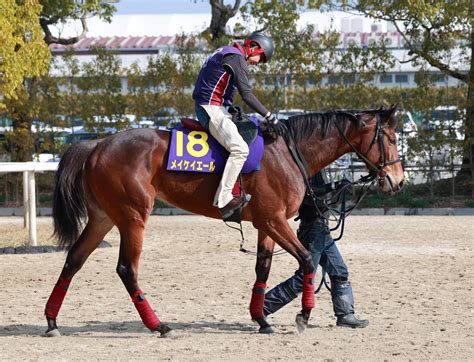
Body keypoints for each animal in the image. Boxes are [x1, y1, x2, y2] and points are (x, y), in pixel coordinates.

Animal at [44, 106, 404, 338]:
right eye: (391, 139)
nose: (398, 181)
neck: (288, 151)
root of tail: (97, 145)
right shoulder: (275, 220)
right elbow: (305, 260)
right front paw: (302, 314)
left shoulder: (265, 224)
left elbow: (263, 270)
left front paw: (262, 319)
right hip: (133, 218)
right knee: (126, 269)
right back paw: (158, 325)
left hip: (103, 218)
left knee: (74, 260)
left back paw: (51, 321)